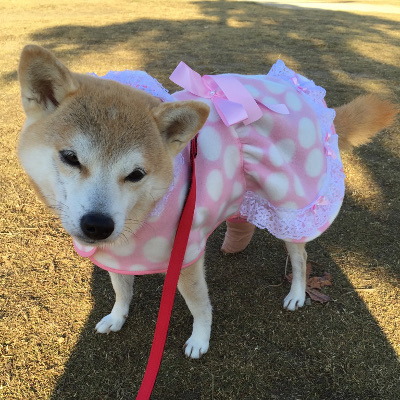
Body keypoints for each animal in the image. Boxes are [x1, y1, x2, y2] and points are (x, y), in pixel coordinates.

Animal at [16, 45, 396, 358]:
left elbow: (199, 306)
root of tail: (302, 95)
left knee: (301, 258)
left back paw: (298, 293)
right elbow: (121, 289)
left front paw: (200, 340)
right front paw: (117, 317)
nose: (97, 225)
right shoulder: (120, 252)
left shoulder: (185, 257)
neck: (147, 211)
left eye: (136, 174)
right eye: (70, 157)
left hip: (291, 205)